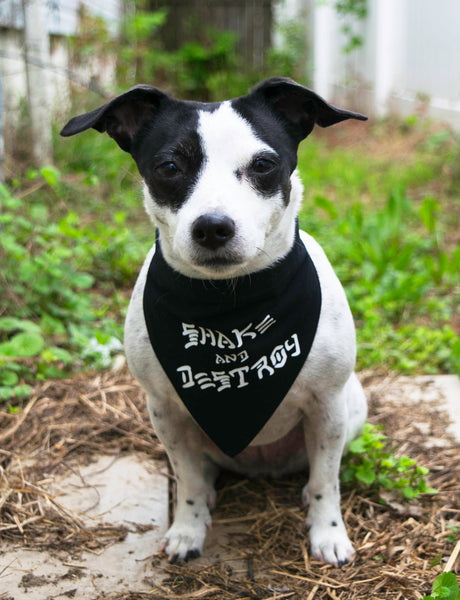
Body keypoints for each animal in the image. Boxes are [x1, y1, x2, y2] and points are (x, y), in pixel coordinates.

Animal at [61, 78, 368, 568]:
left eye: (263, 164)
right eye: (169, 166)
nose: (212, 227)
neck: (230, 307)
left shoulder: (327, 407)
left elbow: (326, 481)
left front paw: (328, 534)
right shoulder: (165, 411)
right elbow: (186, 479)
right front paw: (188, 528)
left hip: (352, 408)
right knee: (200, 473)